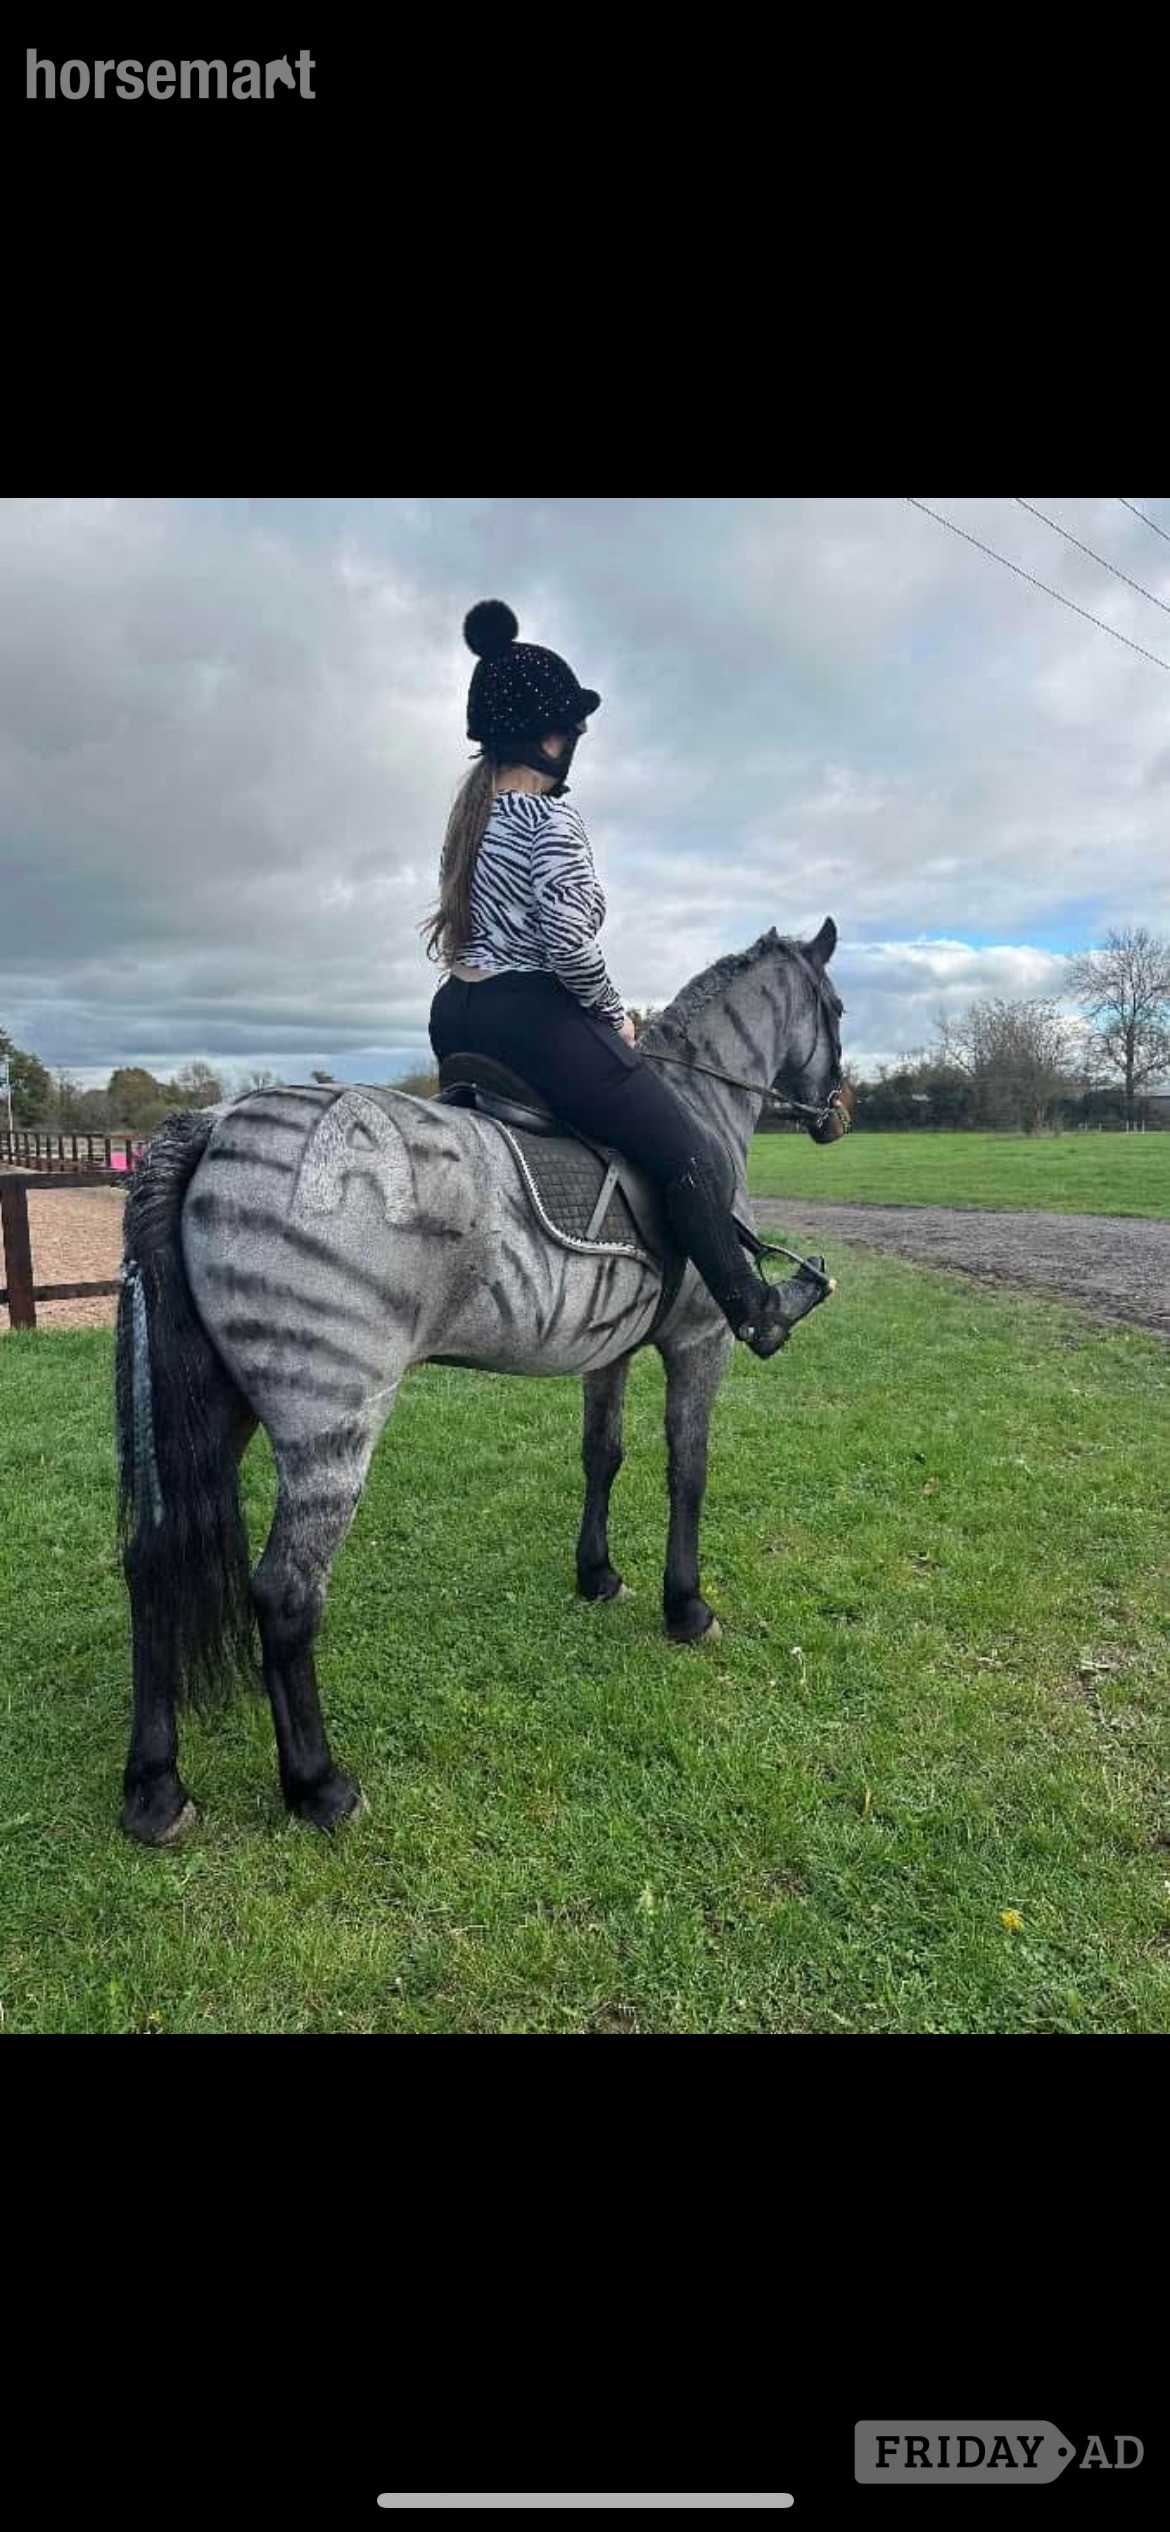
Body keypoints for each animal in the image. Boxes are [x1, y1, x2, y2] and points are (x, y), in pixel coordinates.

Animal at [115, 917, 849, 1844]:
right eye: (837, 1009)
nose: (838, 1114)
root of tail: (210, 1127)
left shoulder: (608, 1350)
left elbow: (602, 1455)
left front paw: (598, 1576)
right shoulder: (701, 1341)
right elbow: (688, 1470)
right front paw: (686, 1609)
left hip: (216, 1408)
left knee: (152, 1565)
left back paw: (155, 1788)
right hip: (332, 1420)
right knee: (286, 1593)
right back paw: (319, 1785)